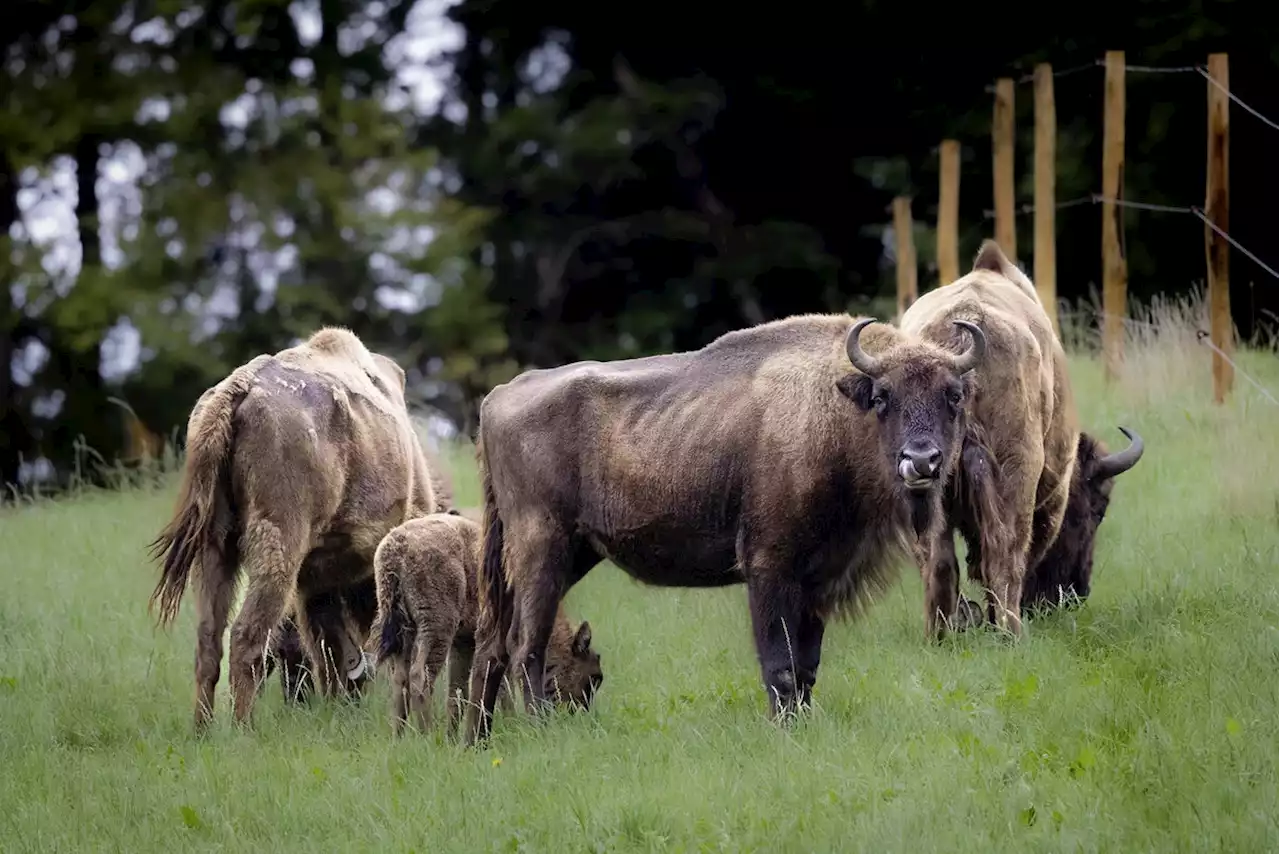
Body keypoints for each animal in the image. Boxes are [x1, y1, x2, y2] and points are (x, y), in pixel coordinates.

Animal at [147, 325, 440, 727]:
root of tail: (236, 389)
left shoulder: (316, 584)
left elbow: (329, 651)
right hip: (278, 544)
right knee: (246, 636)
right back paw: (243, 729)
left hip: (213, 548)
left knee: (209, 641)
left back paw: (202, 730)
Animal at [368, 507, 601, 737]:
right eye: (593, 677)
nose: (581, 714)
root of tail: (394, 549)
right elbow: (502, 687)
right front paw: (510, 723)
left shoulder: (463, 642)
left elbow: (458, 692)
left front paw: (453, 736)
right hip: (437, 627)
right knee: (420, 676)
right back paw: (428, 735)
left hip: (407, 631)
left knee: (400, 680)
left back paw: (399, 737)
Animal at [463, 312, 988, 742]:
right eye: (882, 397)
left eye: (953, 395)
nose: (921, 460)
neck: (831, 411)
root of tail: (496, 399)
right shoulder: (770, 569)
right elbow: (780, 662)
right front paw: (783, 729)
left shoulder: (817, 579)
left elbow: (807, 664)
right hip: (543, 549)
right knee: (525, 644)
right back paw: (538, 728)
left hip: (557, 557)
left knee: (492, 644)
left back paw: (476, 741)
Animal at [901, 236, 1141, 637]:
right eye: (1099, 510)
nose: (1076, 593)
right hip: (1017, 472)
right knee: (1005, 552)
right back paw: (1011, 631)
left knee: (937, 558)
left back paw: (941, 634)